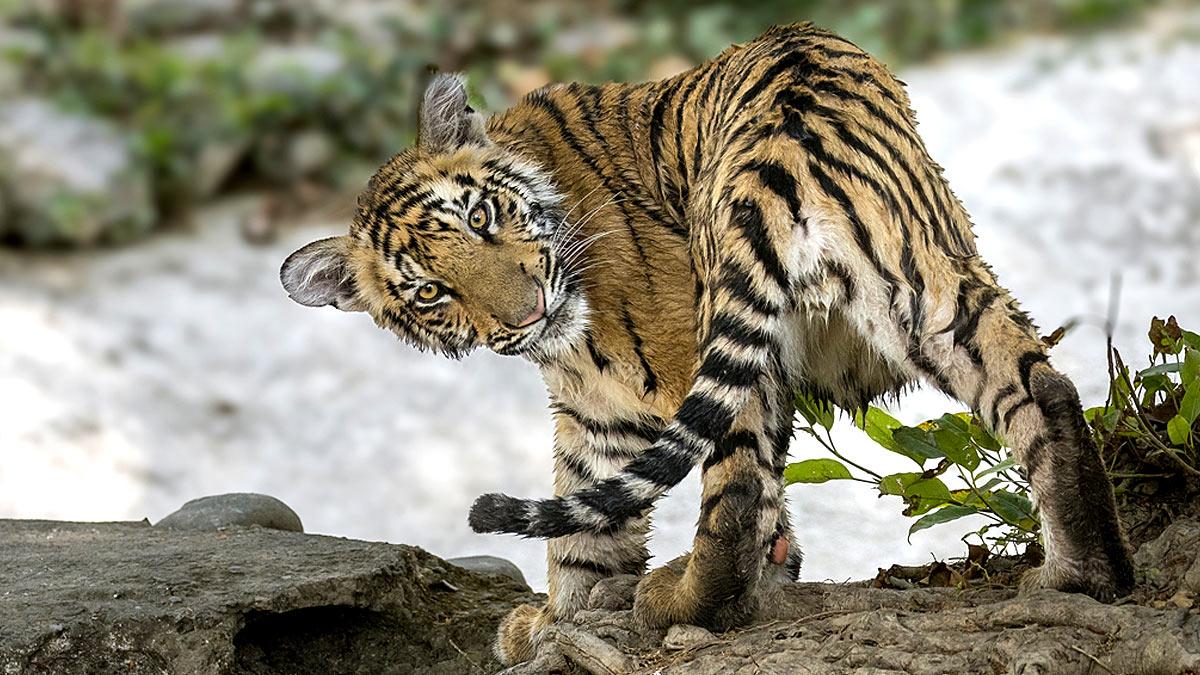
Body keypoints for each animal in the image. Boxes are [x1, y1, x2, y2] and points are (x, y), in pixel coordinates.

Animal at [280, 23, 1135, 666]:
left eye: (481, 218)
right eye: (429, 291)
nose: (525, 313)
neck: (564, 340)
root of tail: (786, 126)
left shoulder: (641, 373)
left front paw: (558, 621)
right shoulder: (596, 413)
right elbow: (586, 530)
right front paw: (561, 620)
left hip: (727, 322)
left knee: (734, 488)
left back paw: (683, 599)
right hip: (924, 283)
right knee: (1042, 392)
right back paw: (1082, 578)